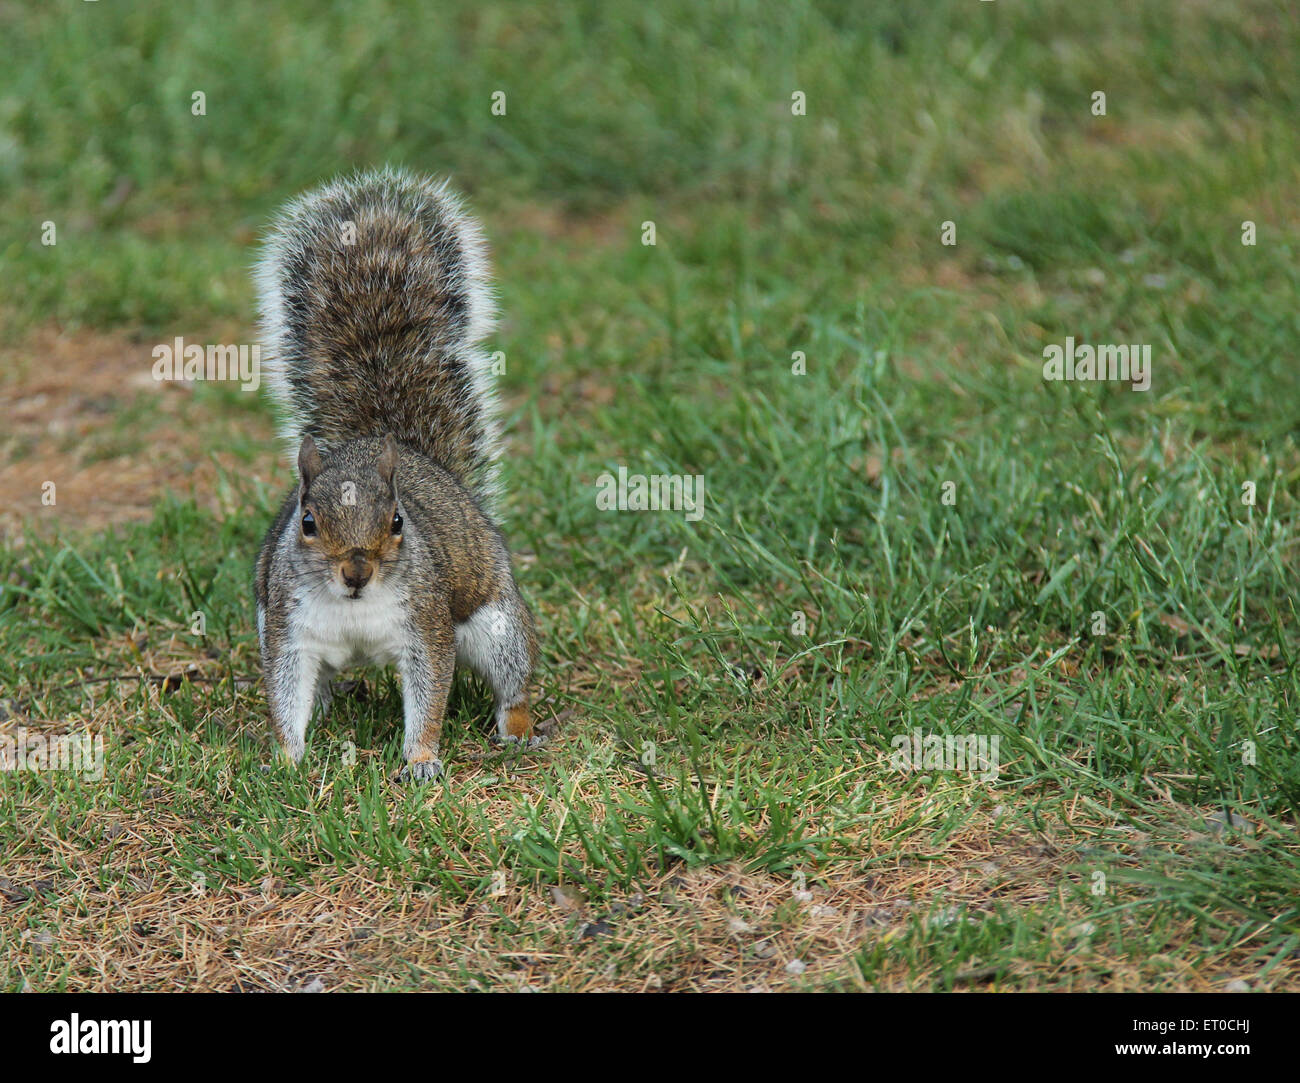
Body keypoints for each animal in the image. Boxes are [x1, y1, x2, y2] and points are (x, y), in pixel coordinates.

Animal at [250, 166, 535, 780]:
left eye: (398, 521)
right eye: (307, 523)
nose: (356, 572)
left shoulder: (426, 628)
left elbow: (429, 696)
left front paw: (423, 759)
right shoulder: (287, 633)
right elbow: (285, 694)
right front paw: (286, 757)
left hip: (499, 625)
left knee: (513, 682)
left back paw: (519, 728)